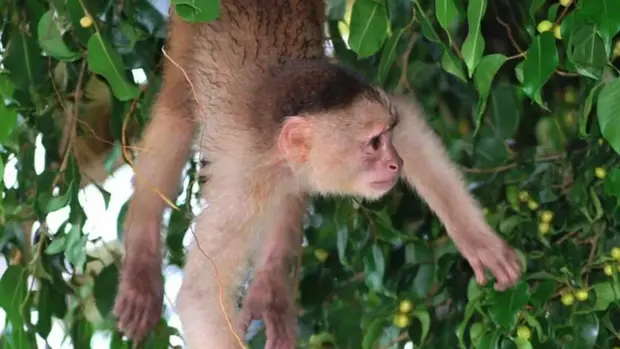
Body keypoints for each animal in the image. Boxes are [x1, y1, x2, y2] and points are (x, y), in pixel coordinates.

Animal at [112, 1, 524, 346]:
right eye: (374, 143)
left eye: (386, 137)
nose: (396, 164)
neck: (276, 149)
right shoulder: (246, 188)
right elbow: (200, 297)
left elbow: (407, 121)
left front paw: (478, 242)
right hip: (189, 20)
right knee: (177, 110)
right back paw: (142, 257)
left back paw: (272, 285)